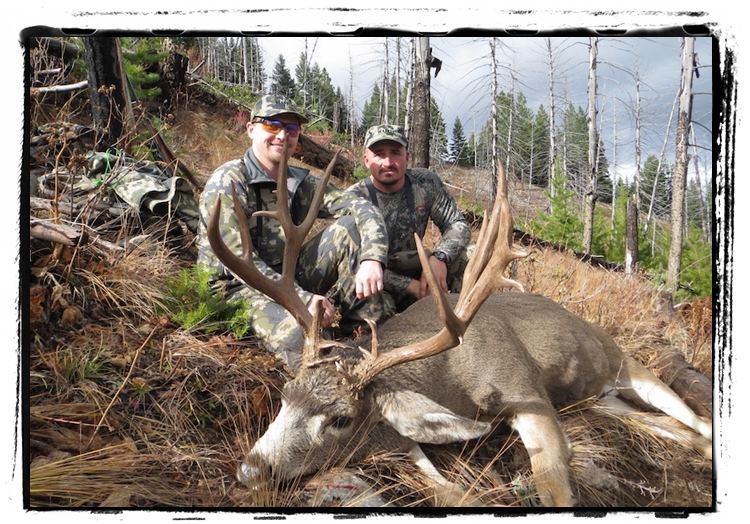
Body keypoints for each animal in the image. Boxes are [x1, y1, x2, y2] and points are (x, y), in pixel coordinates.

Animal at [207, 138, 713, 507]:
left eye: (341, 419)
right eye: (285, 394)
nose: (251, 469)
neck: (455, 381)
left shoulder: (528, 392)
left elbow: (553, 487)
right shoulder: (397, 432)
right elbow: (445, 488)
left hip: (632, 367)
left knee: (700, 423)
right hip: (605, 402)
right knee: (682, 432)